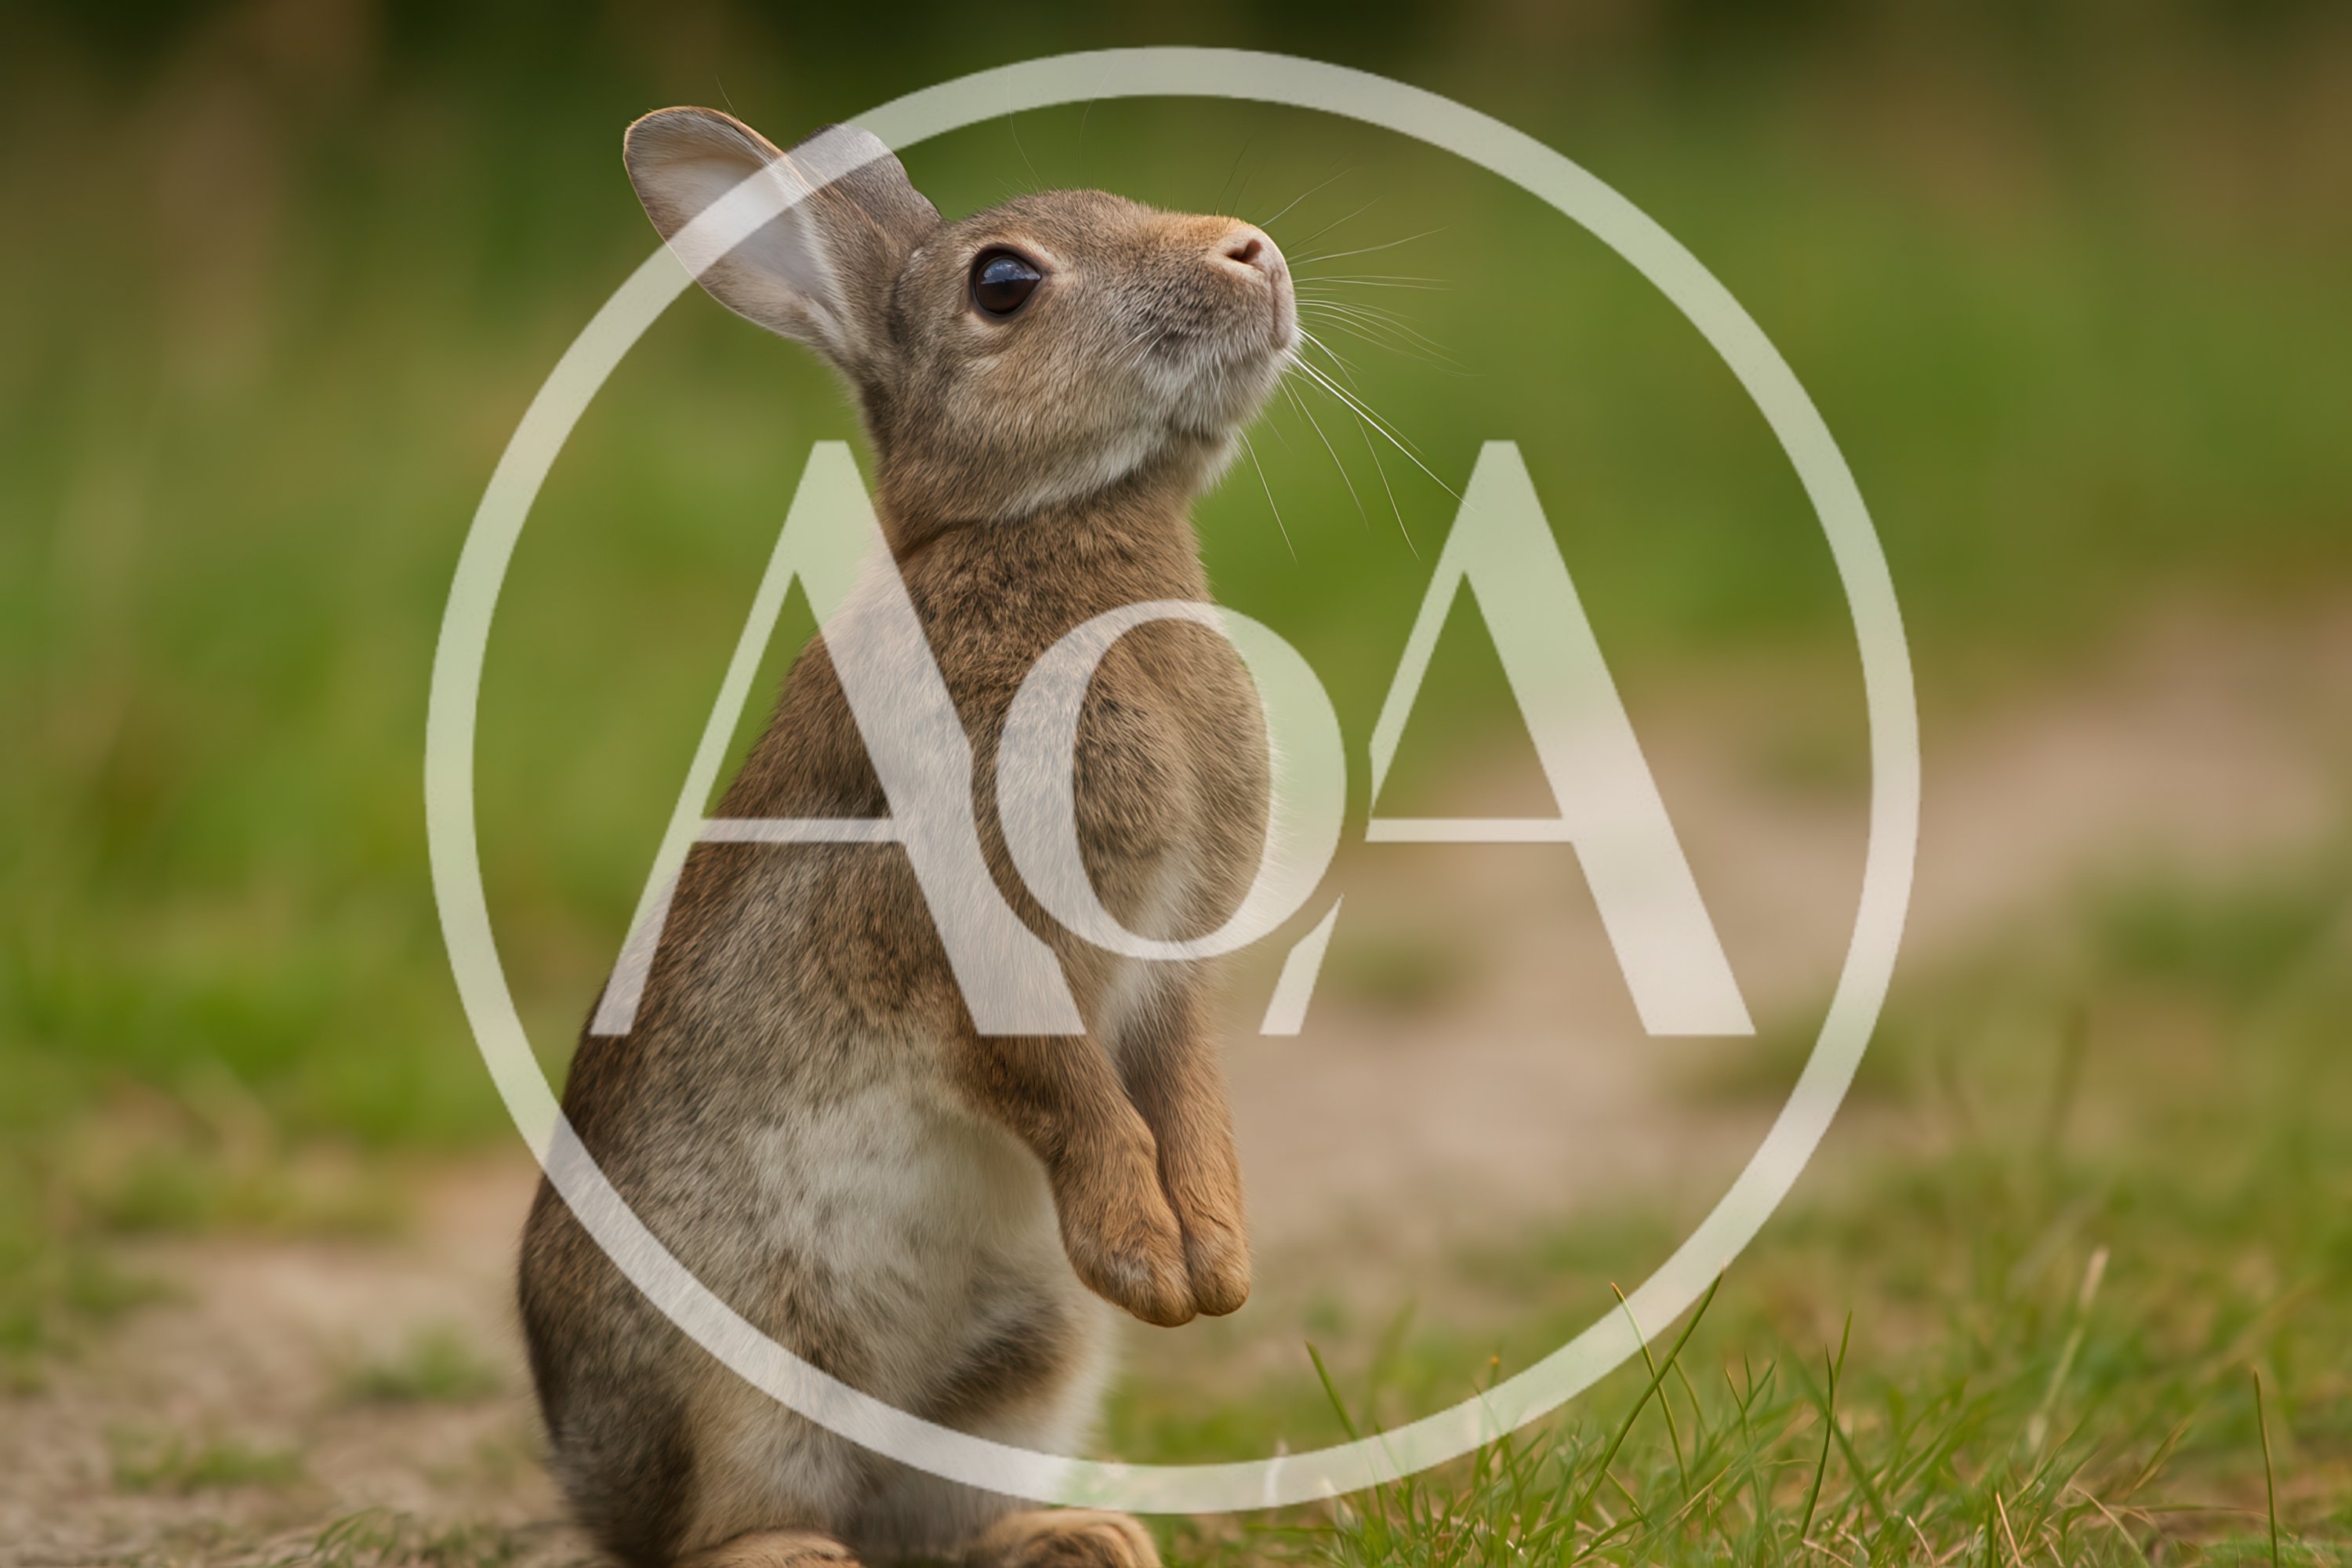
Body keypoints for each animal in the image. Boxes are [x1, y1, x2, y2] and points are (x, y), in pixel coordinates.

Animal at [518, 105, 1294, 1568]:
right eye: (1005, 284)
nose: (1253, 252)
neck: (1045, 524)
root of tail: (595, 1481)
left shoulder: (1166, 962)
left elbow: (1188, 1087)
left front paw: (1219, 1266)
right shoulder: (958, 941)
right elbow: (1056, 1082)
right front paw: (1148, 1261)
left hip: (1026, 1365)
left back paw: (1084, 1538)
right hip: (750, 1366)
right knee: (727, 1520)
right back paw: (796, 1555)